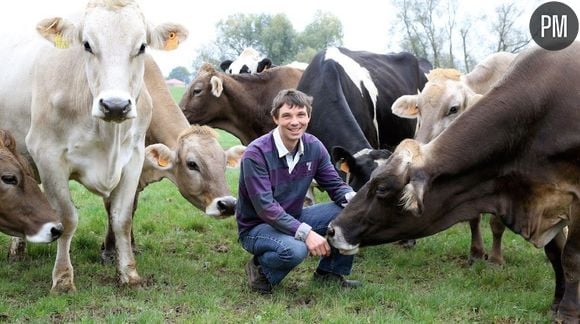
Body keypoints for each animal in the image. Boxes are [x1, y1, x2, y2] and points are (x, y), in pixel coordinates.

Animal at [0, 0, 188, 294]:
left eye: (142, 46)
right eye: (87, 44)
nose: (115, 105)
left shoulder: (134, 158)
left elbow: (122, 219)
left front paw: (128, 274)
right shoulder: (48, 156)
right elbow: (66, 219)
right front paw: (63, 279)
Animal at [390, 52, 516, 264]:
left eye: (453, 109)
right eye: (419, 108)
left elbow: (496, 223)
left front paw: (495, 259)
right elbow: (473, 218)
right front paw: (476, 252)